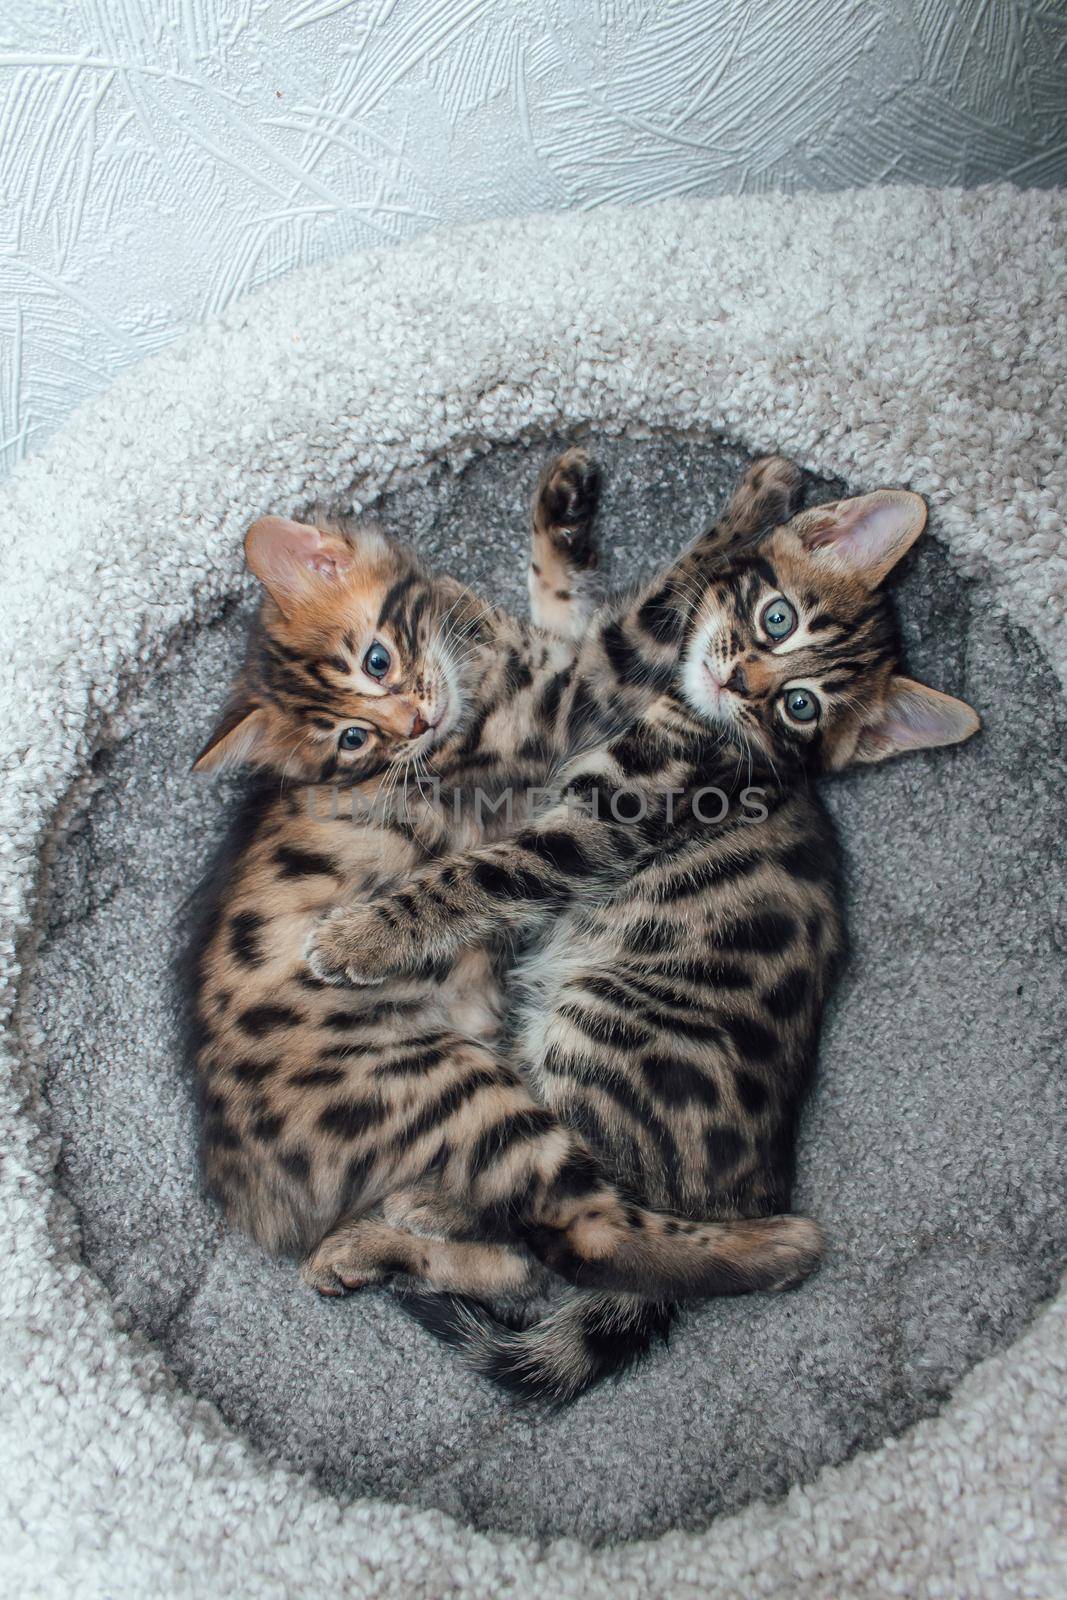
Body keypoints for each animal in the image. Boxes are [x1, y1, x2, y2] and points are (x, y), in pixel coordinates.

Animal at [183, 470, 825, 1324]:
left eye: (377, 660)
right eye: (353, 738)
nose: (414, 722)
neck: (469, 666)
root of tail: (251, 1196)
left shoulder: (553, 666)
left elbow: (564, 599)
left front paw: (564, 498)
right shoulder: (579, 695)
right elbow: (657, 604)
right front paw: (761, 496)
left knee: (525, 1264)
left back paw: (368, 1250)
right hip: (450, 1086)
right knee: (584, 1237)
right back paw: (778, 1248)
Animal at [303, 454, 979, 1401]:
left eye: (800, 705)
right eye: (776, 620)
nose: (741, 682)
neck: (697, 717)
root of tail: (745, 1191)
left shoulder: (600, 821)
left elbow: (481, 872)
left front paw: (362, 938)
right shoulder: (585, 686)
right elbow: (584, 611)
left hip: (601, 1023)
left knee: (556, 1234)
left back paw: (416, 1212)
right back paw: (382, 1239)